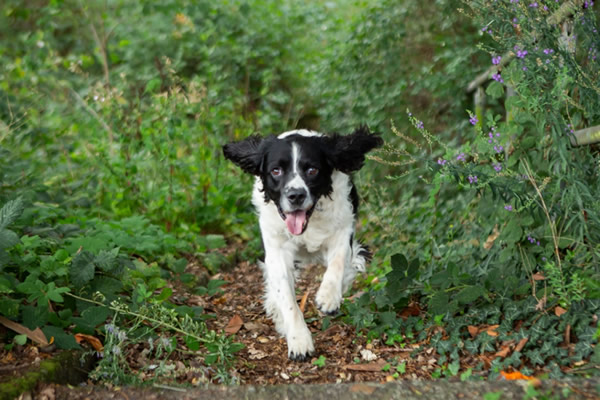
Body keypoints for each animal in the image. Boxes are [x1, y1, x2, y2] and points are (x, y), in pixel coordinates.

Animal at [223, 126, 382, 360]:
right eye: (276, 171)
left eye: (312, 170)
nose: (296, 195)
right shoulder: (276, 248)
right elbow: (287, 298)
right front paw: (299, 340)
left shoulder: (344, 229)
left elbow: (338, 263)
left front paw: (328, 297)